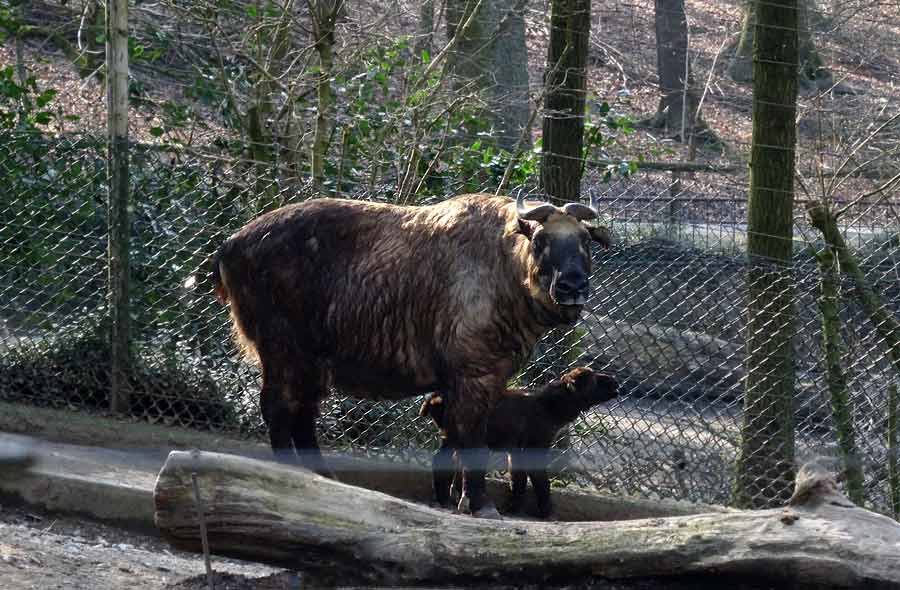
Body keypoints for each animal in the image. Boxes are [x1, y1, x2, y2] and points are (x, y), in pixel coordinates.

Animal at [420, 368, 620, 520]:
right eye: (593, 380)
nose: (614, 382)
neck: (552, 408)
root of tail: (435, 398)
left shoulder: (516, 450)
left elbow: (519, 480)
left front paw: (514, 508)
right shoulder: (535, 447)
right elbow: (541, 483)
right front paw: (546, 511)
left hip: (451, 438)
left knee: (442, 462)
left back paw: (445, 498)